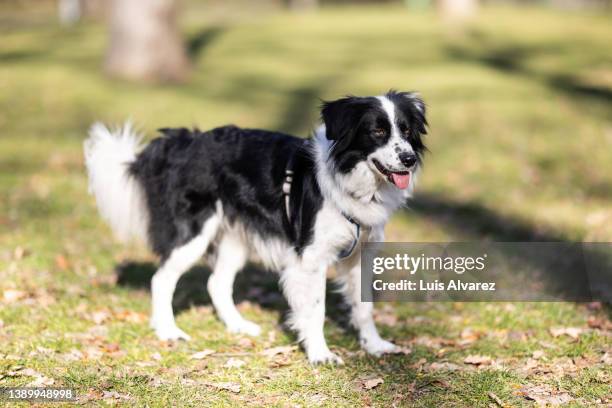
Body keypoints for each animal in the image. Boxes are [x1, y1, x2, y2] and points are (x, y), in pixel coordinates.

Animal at [85, 90, 426, 364]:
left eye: (406, 130)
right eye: (377, 131)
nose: (409, 159)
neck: (349, 177)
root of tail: (181, 141)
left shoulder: (360, 255)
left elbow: (363, 307)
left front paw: (375, 346)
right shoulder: (309, 259)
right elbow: (315, 310)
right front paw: (320, 354)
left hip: (236, 238)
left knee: (216, 283)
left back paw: (238, 326)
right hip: (194, 233)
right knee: (162, 279)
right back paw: (169, 331)